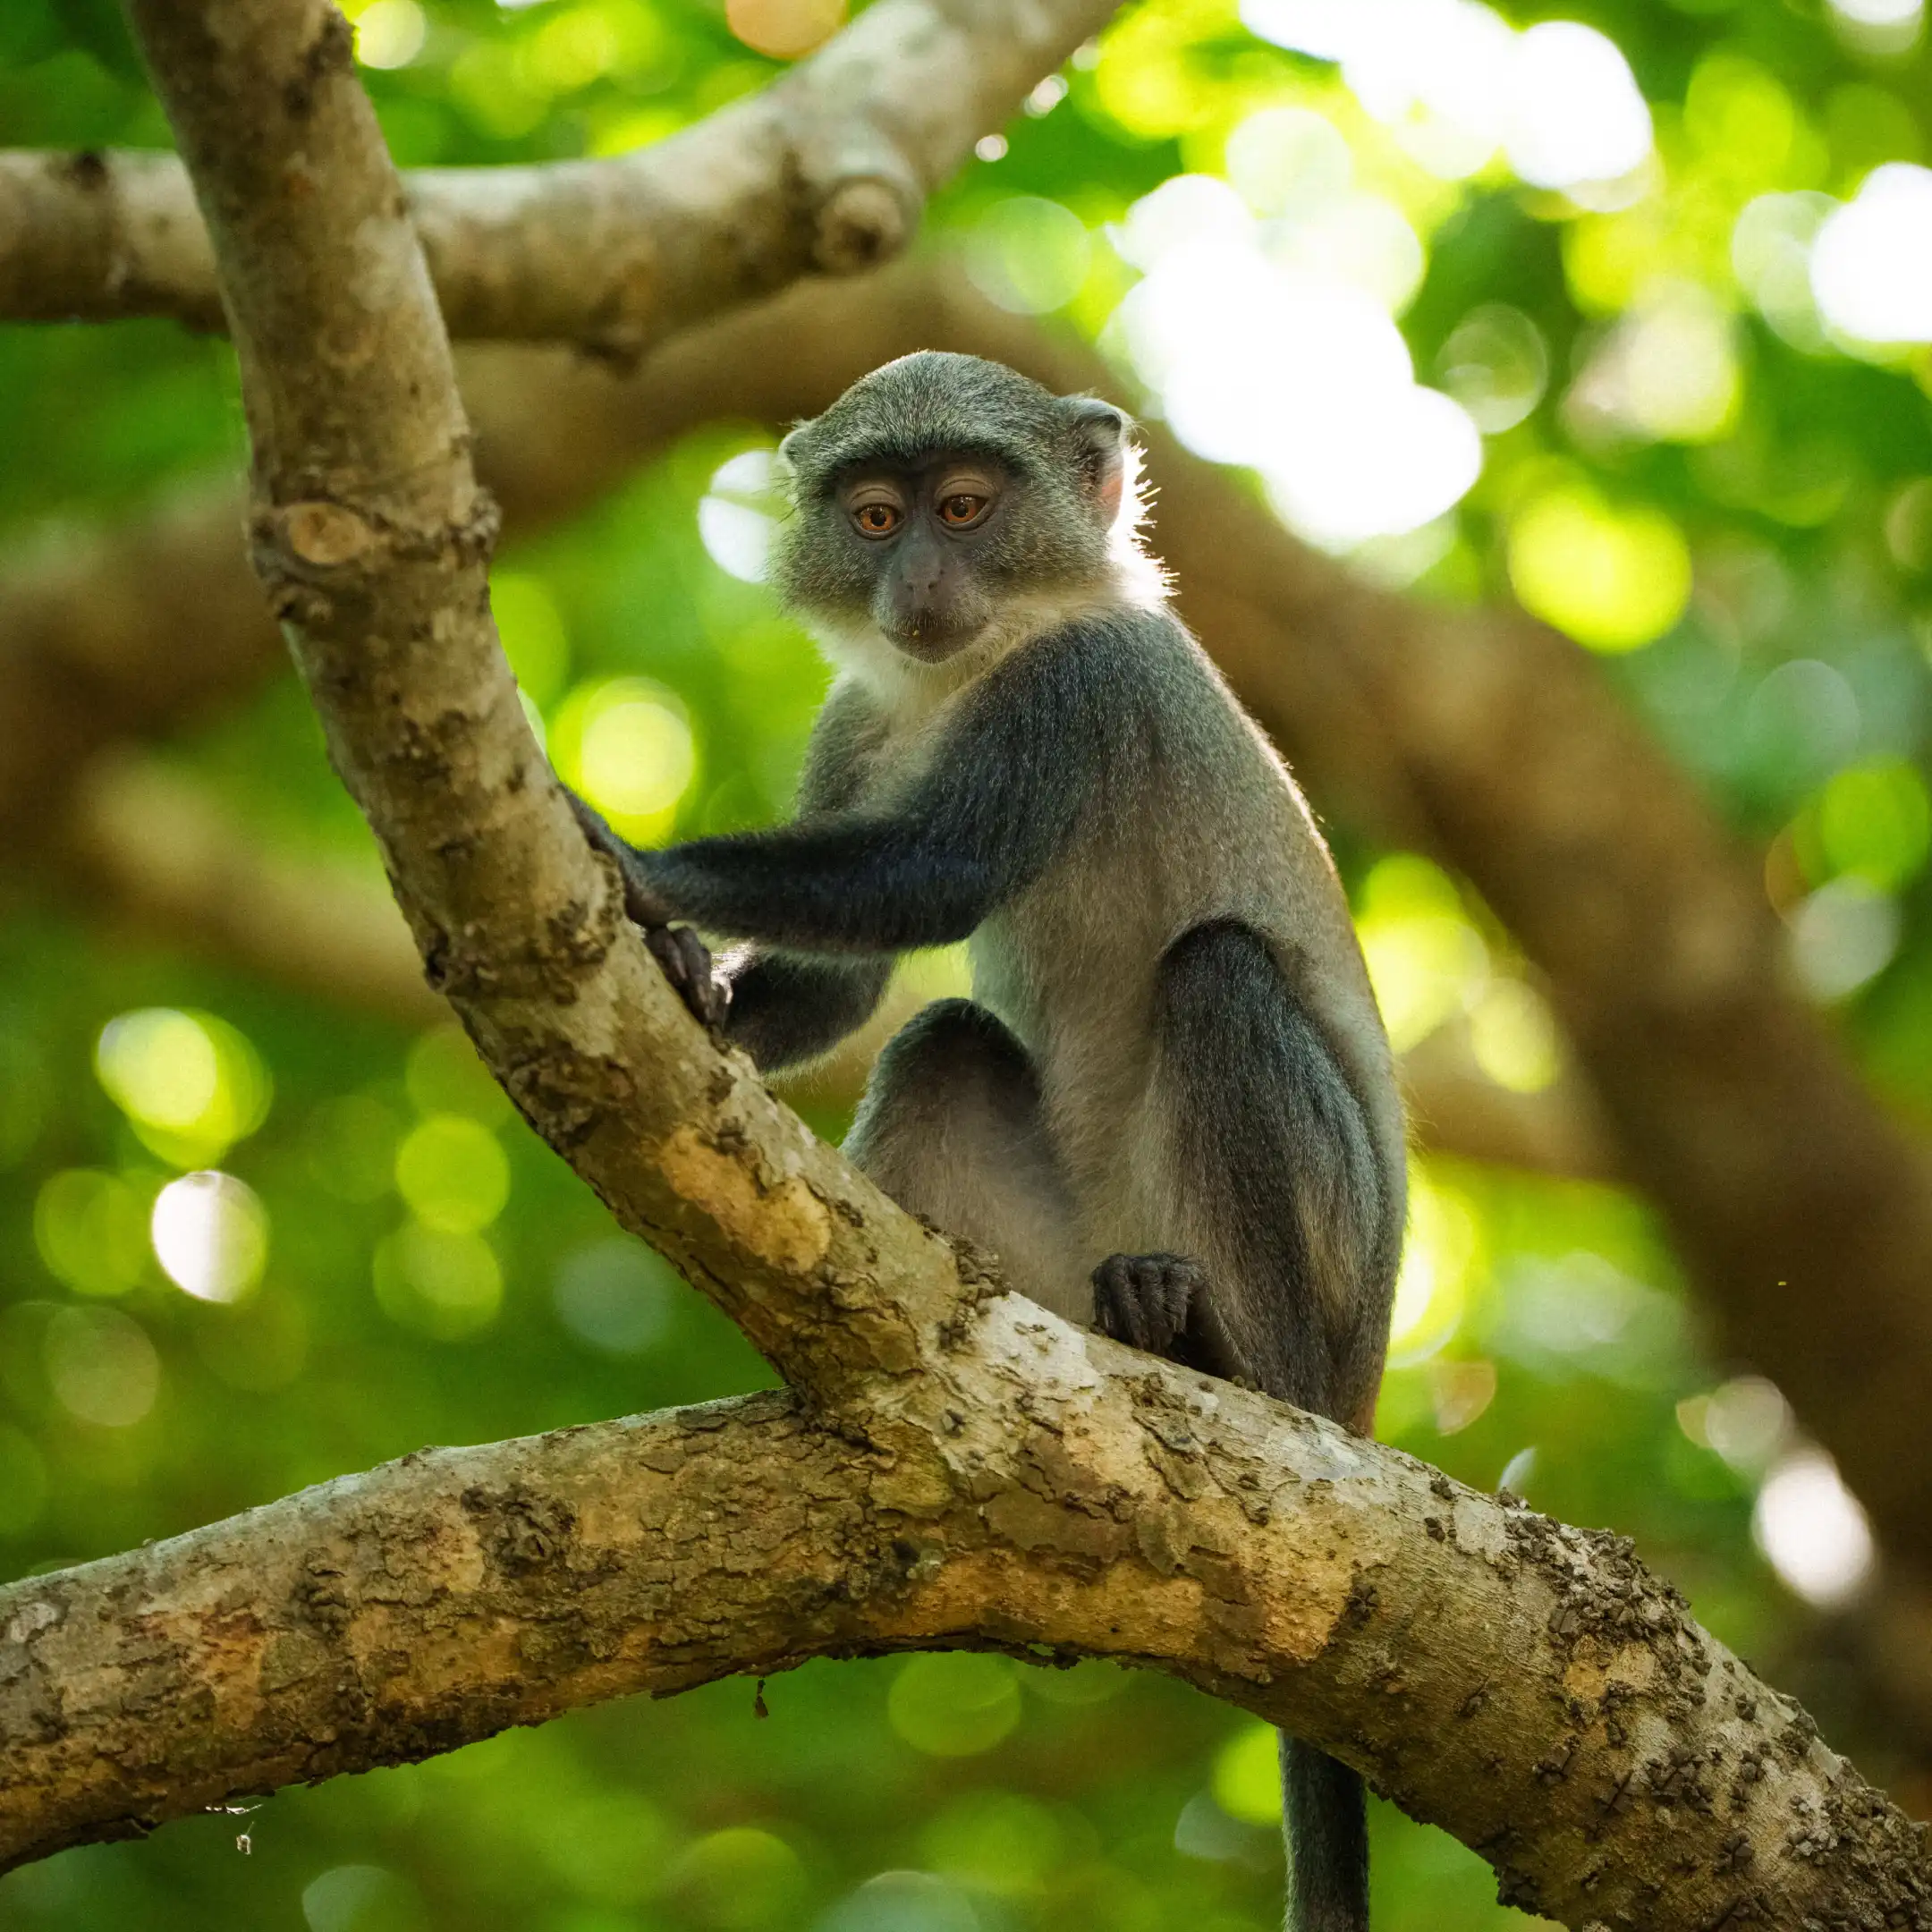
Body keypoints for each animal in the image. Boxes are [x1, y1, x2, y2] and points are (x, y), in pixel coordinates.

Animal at [565, 351, 1405, 1932]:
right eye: (875, 516)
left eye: (964, 506)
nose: (920, 584)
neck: (966, 670)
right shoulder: (856, 717)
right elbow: (852, 987)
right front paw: (692, 982)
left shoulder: (1076, 691)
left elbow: (935, 869)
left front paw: (638, 863)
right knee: (947, 1042)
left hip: (1328, 1278)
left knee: (1218, 971)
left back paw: (1232, 1363)